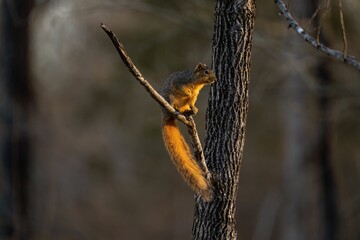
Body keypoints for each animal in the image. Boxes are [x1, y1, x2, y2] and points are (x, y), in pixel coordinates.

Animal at [160, 63, 217, 201]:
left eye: (212, 71)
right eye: (206, 72)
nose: (215, 79)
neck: (196, 84)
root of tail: (165, 115)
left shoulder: (194, 97)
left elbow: (192, 102)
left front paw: (194, 108)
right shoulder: (179, 81)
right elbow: (181, 88)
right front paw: (187, 92)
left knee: (185, 108)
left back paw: (187, 111)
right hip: (170, 97)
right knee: (173, 104)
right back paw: (175, 108)